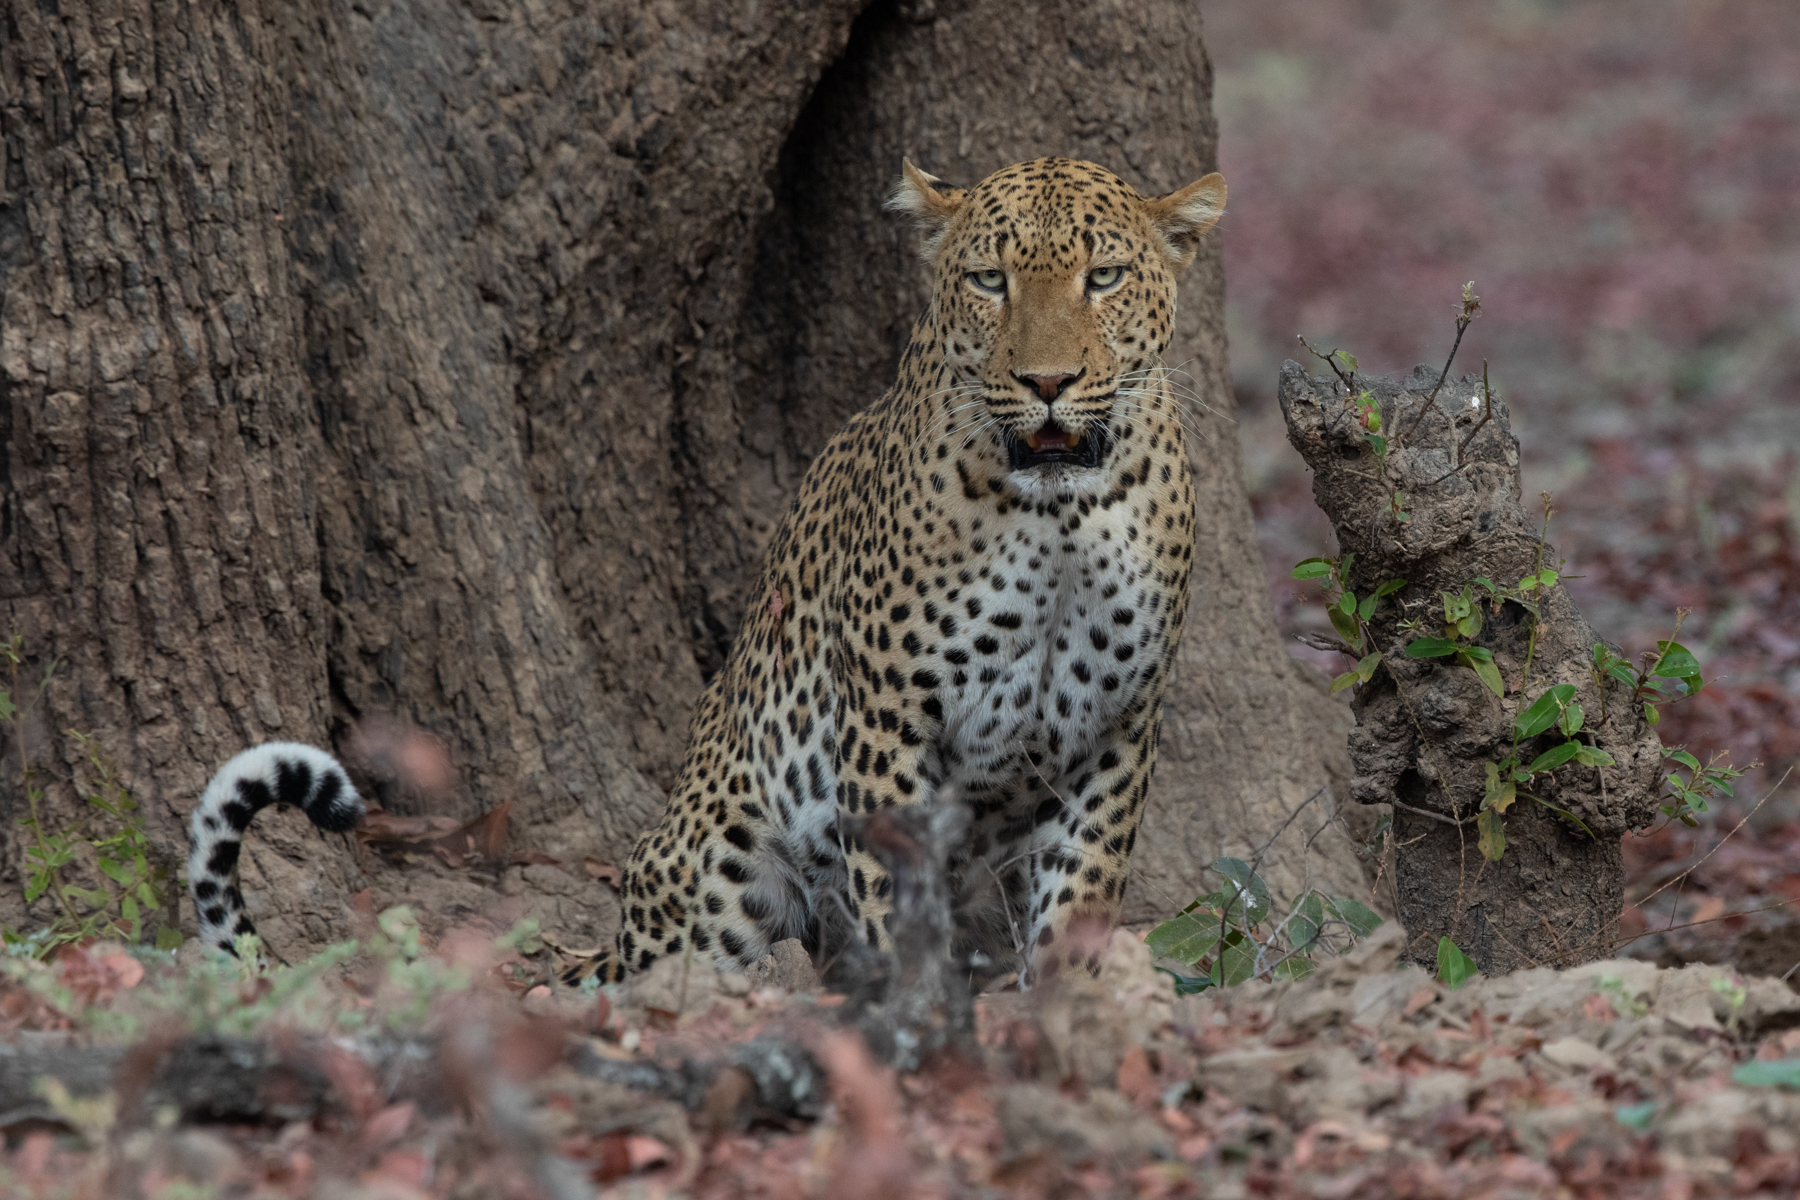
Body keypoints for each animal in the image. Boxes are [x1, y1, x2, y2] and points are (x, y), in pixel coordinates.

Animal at [563, 156, 1226, 988]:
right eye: (989, 281)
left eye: (1103, 277)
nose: (1049, 383)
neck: (1059, 520)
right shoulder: (888, 716)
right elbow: (896, 890)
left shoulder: (1118, 728)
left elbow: (1082, 893)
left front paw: (1071, 1003)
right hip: (717, 864)